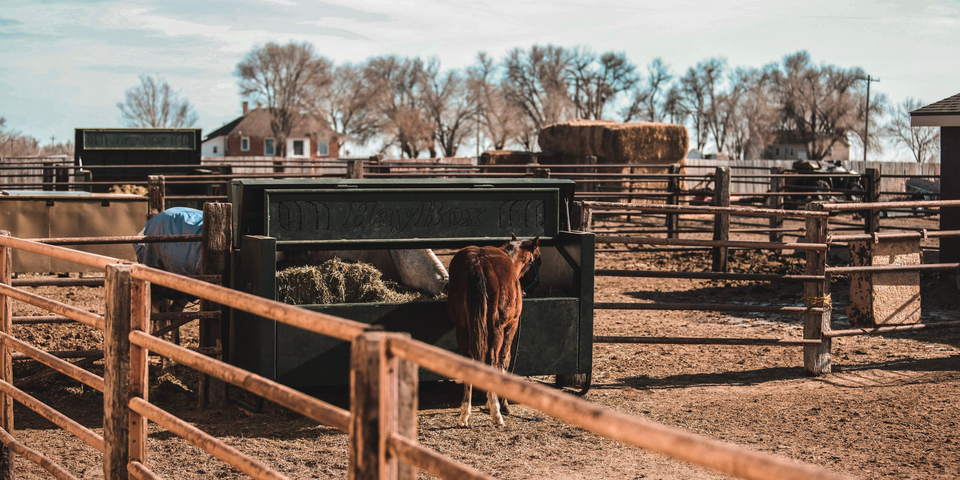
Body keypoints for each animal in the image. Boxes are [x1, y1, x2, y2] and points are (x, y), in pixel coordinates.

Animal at [444, 234, 536, 426]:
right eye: (536, 260)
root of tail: (477, 264)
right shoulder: (511, 326)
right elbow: (504, 360)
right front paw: (502, 404)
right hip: (496, 330)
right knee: (493, 359)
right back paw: (496, 413)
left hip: (463, 330)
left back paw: (464, 414)